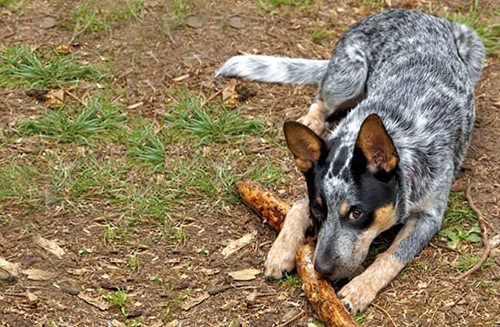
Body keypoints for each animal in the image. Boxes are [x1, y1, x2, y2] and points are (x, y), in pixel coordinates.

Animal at [217, 9, 482, 314]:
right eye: (318, 209)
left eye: (356, 213)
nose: (321, 270)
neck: (398, 130)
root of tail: (408, 11)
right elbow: (296, 205)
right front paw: (281, 250)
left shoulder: (429, 215)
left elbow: (391, 256)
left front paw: (359, 289)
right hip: (348, 75)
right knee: (321, 98)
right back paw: (312, 120)